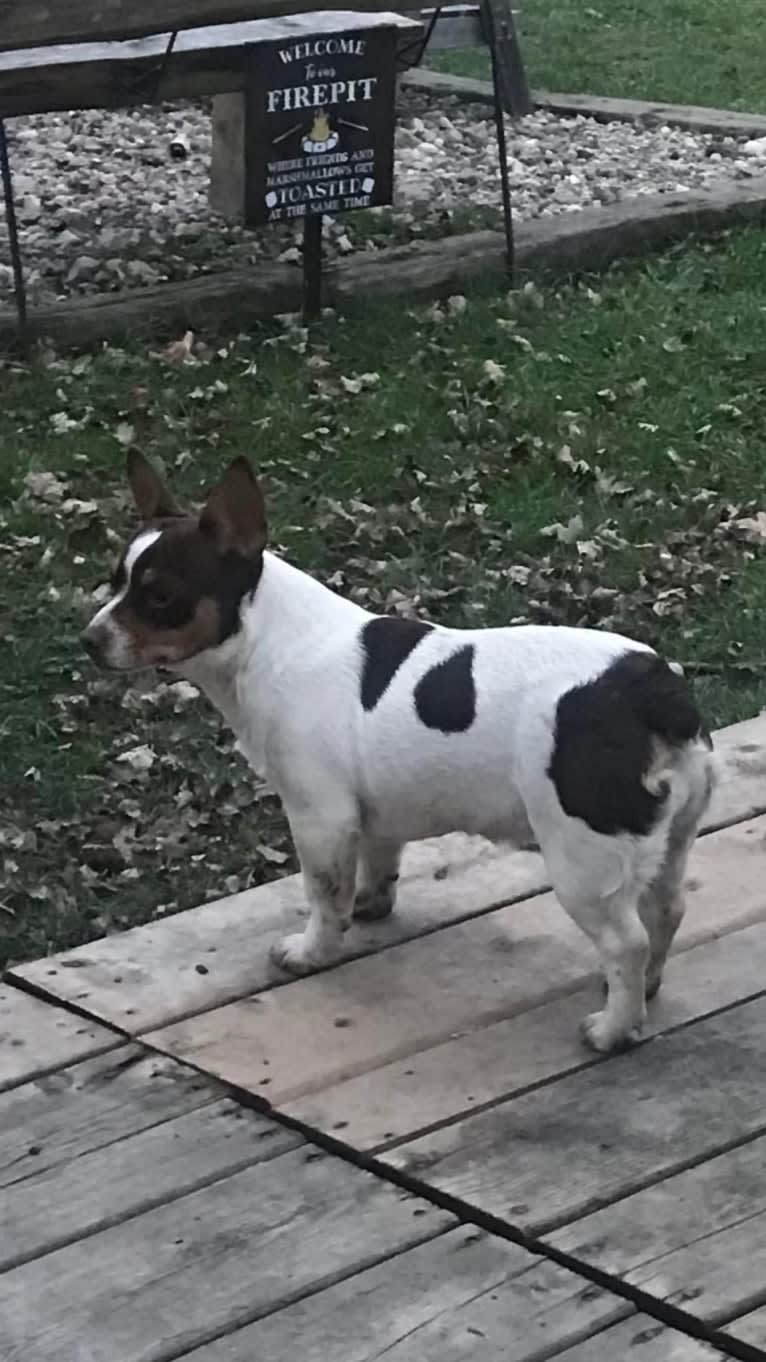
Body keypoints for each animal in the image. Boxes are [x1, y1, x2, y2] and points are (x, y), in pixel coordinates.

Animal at [80, 454, 714, 1051]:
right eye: (115, 582)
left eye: (160, 595)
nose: (88, 640)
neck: (271, 642)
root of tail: (652, 691)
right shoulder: (373, 815)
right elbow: (375, 864)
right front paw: (370, 904)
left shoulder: (319, 818)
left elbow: (323, 892)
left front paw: (313, 950)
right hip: (671, 837)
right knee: (667, 911)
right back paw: (645, 990)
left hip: (583, 860)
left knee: (626, 942)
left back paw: (613, 1028)